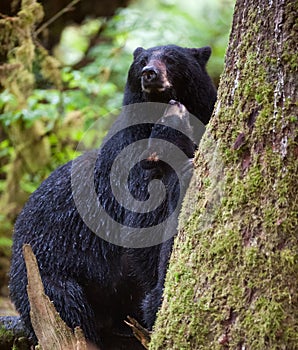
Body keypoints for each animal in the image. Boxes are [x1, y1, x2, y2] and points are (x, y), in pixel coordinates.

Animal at [8, 45, 217, 348]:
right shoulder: (128, 166)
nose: (149, 73)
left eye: (171, 58)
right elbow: (140, 228)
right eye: (142, 61)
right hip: (43, 271)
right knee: (68, 307)